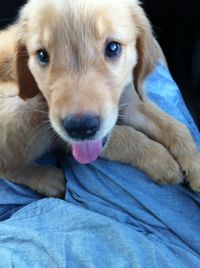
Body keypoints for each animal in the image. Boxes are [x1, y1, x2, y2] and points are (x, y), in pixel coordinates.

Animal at [0, 0, 199, 197]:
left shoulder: (131, 100)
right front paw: (160, 161)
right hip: (22, 109)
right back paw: (47, 179)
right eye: (42, 55)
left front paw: (195, 165)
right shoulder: (62, 136)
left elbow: (176, 126)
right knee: (8, 169)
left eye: (113, 47)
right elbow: (126, 137)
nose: (80, 128)